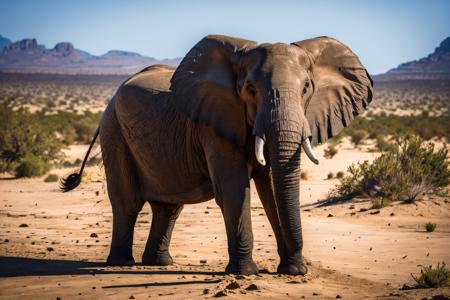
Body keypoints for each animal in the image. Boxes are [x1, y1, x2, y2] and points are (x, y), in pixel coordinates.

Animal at [60, 34, 372, 274]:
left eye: (307, 88)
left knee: (168, 206)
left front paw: (290, 271)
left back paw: (160, 264)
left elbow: (272, 188)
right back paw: (122, 263)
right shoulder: (215, 122)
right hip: (114, 130)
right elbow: (234, 190)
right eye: (250, 89)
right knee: (127, 202)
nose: (300, 269)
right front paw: (246, 272)